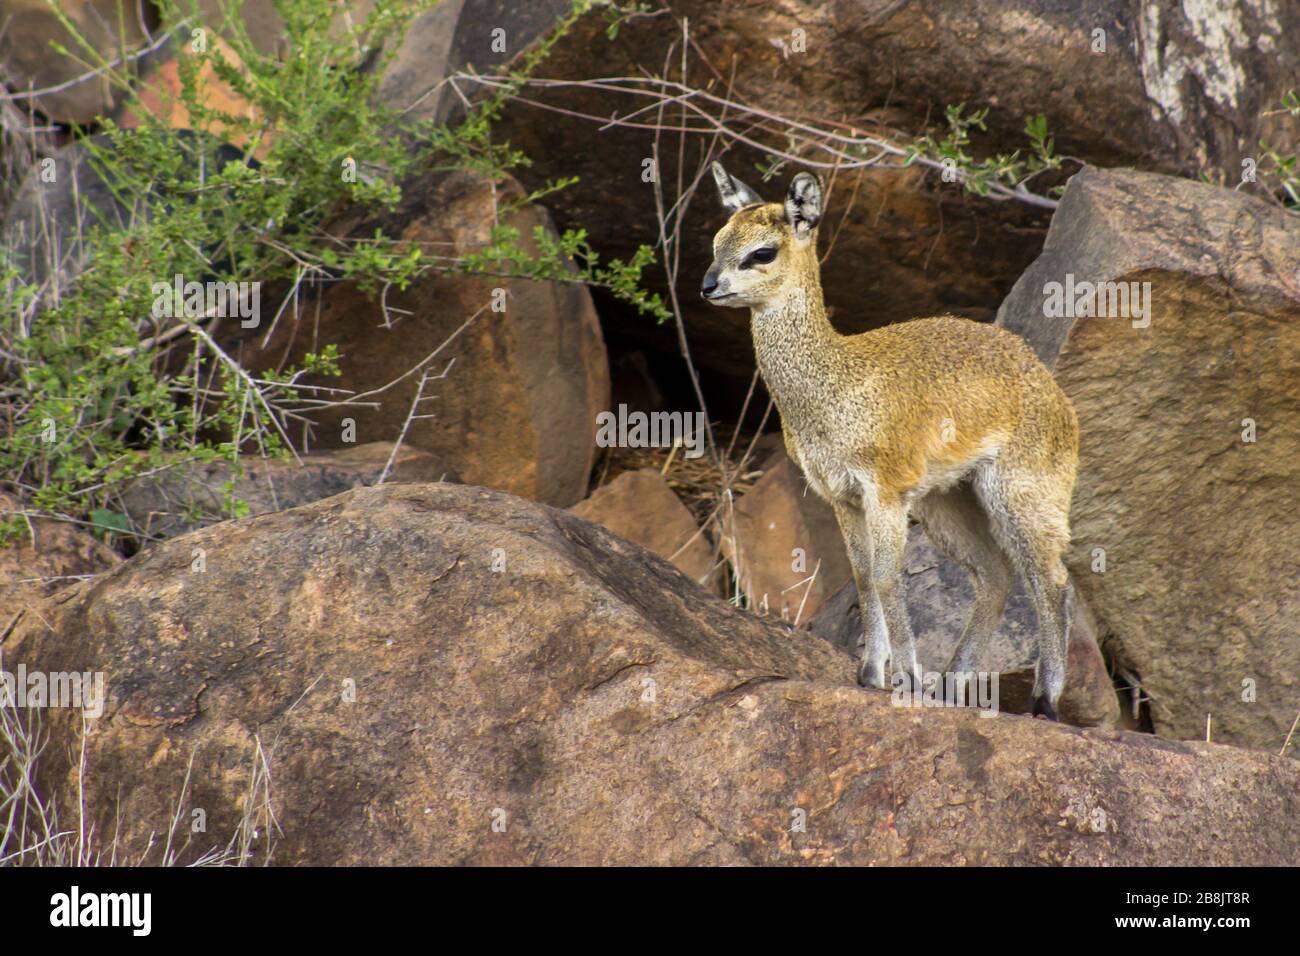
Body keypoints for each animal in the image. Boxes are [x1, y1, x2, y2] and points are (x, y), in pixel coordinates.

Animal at [707, 164, 1081, 717]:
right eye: (717, 241)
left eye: (762, 251)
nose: (709, 285)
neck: (835, 385)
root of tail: (1054, 392)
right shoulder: (842, 496)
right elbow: (865, 579)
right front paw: (871, 674)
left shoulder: (884, 492)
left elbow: (888, 580)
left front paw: (905, 677)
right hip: (947, 501)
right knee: (995, 574)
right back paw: (951, 685)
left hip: (1018, 495)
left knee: (1050, 580)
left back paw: (1044, 701)